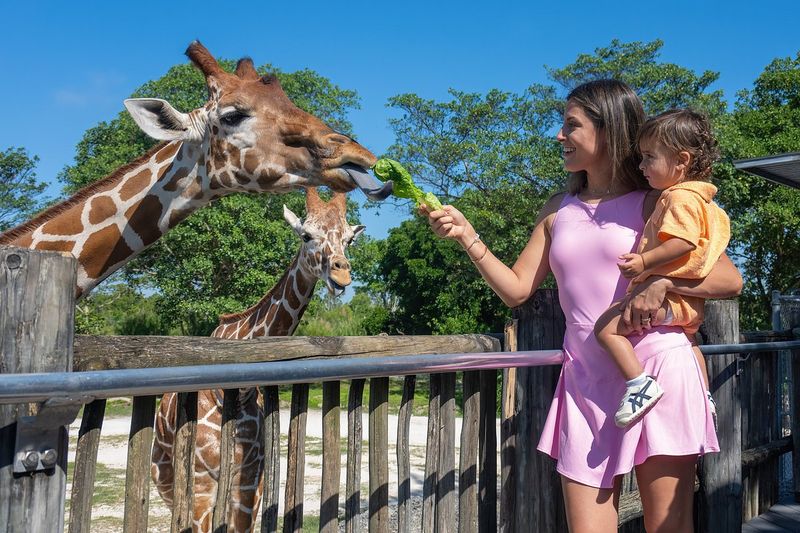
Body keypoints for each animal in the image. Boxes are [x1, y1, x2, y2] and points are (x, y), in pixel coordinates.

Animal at [151, 188, 362, 532]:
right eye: (306, 235)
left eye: (348, 239)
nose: (341, 273)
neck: (238, 392)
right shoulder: (202, 486)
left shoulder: (251, 482)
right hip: (170, 486)